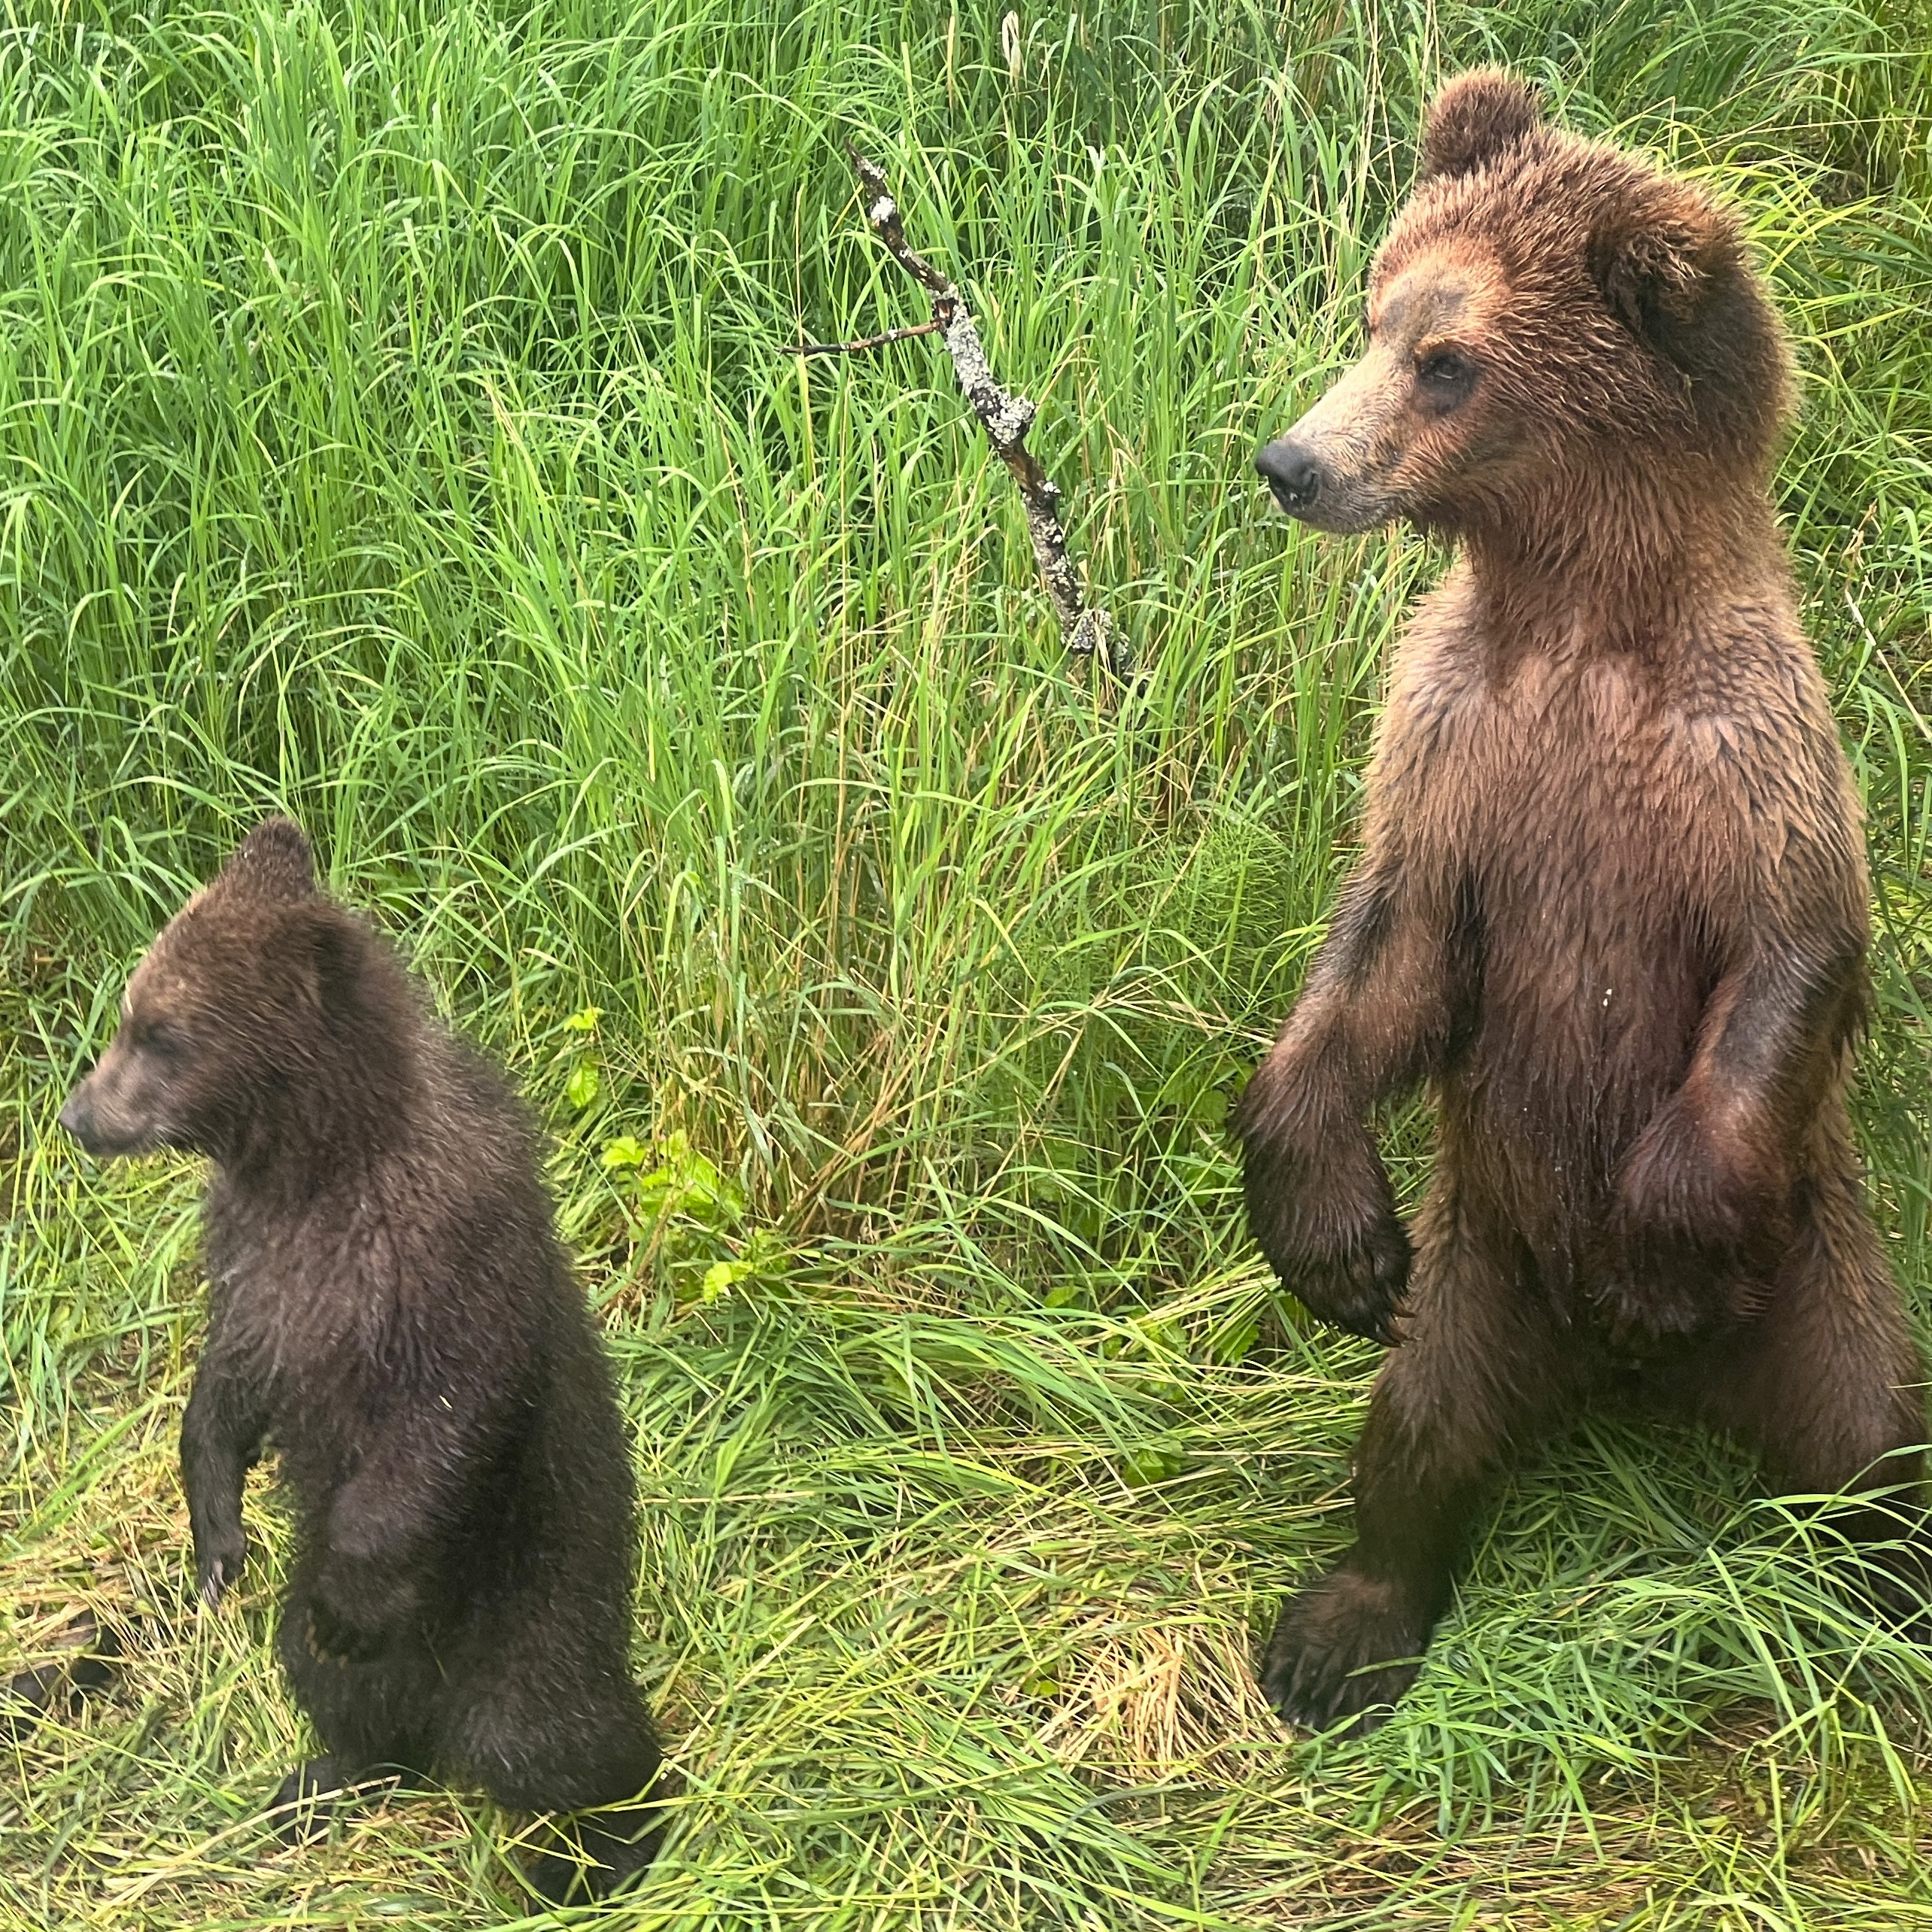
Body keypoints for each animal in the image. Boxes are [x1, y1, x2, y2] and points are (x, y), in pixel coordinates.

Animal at [57, 819, 665, 1898]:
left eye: (163, 1034)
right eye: (132, 1012)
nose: (79, 1117)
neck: (314, 1165)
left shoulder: (436, 1266)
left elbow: (438, 1425)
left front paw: (346, 1600)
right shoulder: (261, 1268)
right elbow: (229, 1379)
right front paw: (216, 1534)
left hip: (539, 1611)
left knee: (549, 1733)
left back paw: (612, 1841)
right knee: (340, 1685)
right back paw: (327, 1775)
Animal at [1240, 71, 1926, 1732]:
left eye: (1449, 362)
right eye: (1376, 313)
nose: (1293, 462)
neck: (1575, 620)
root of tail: (1629, 1398)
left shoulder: (1745, 766)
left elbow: (1787, 962)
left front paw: (1650, 1264)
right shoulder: (1453, 753)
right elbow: (1385, 961)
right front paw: (1329, 1238)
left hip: (1817, 1276)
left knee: (1872, 1438)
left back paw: (1884, 1580)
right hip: (1479, 1270)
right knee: (1415, 1432)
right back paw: (1340, 1628)